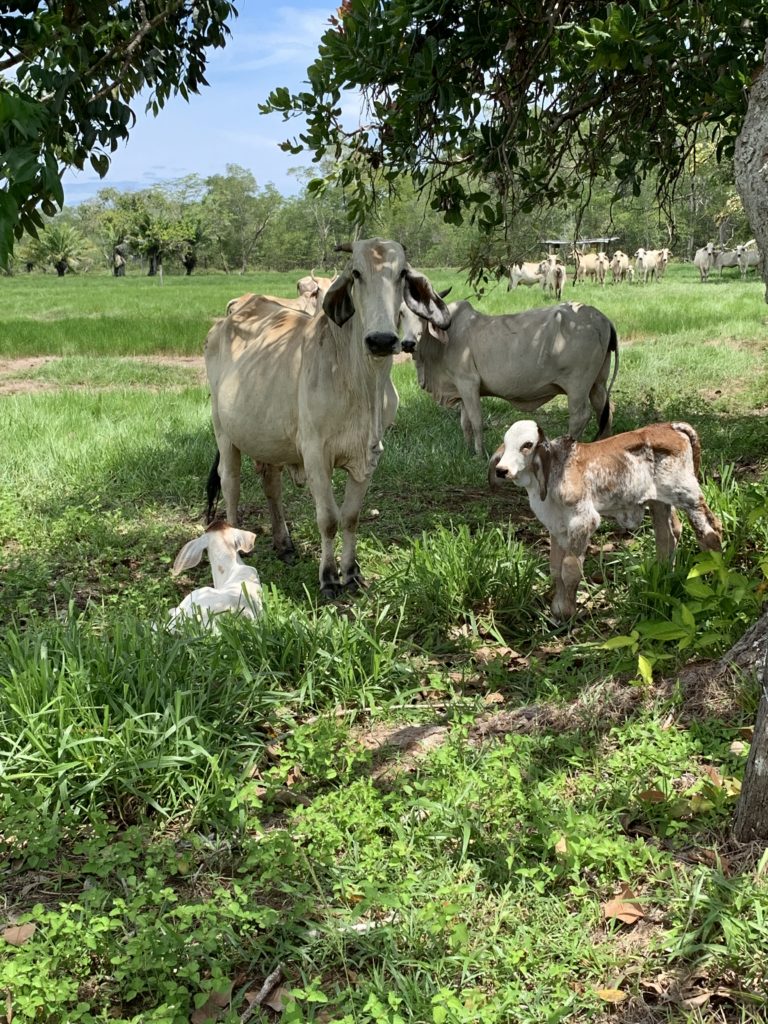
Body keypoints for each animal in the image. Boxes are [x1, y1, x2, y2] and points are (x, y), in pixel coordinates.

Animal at [204, 238, 451, 597]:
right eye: (356, 273)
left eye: (402, 273)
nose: (382, 340)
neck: (361, 383)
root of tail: (225, 321)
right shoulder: (315, 455)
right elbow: (328, 519)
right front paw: (329, 577)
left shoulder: (369, 455)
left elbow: (350, 516)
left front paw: (351, 572)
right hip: (224, 430)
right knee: (230, 482)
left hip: (268, 439)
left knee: (271, 485)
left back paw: (284, 544)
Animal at [401, 300, 619, 456]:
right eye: (401, 313)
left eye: (422, 316)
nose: (408, 343)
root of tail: (602, 318)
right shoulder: (460, 388)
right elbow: (465, 423)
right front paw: (468, 450)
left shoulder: (468, 383)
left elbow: (476, 421)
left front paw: (479, 454)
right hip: (598, 383)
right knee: (604, 411)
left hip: (577, 384)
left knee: (580, 416)